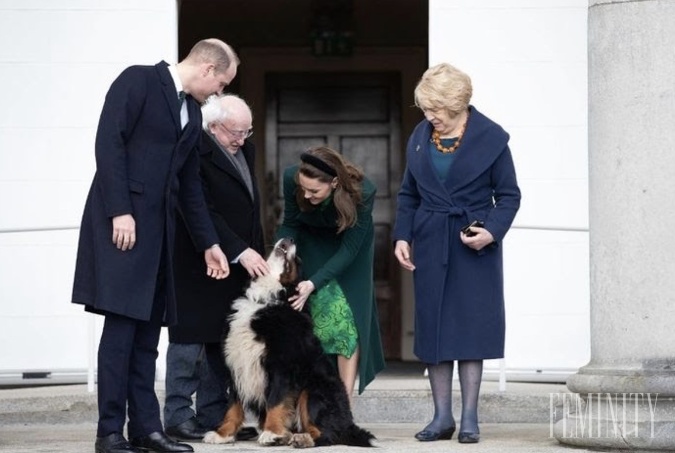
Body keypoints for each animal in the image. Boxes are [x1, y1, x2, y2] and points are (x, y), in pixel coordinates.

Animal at [203, 235, 378, 446]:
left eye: (298, 261)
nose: (290, 238)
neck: (264, 300)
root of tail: (349, 424)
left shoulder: (281, 365)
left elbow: (276, 400)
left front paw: (272, 432)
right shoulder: (237, 364)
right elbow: (233, 406)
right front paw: (223, 433)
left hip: (314, 390)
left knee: (327, 434)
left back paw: (301, 439)